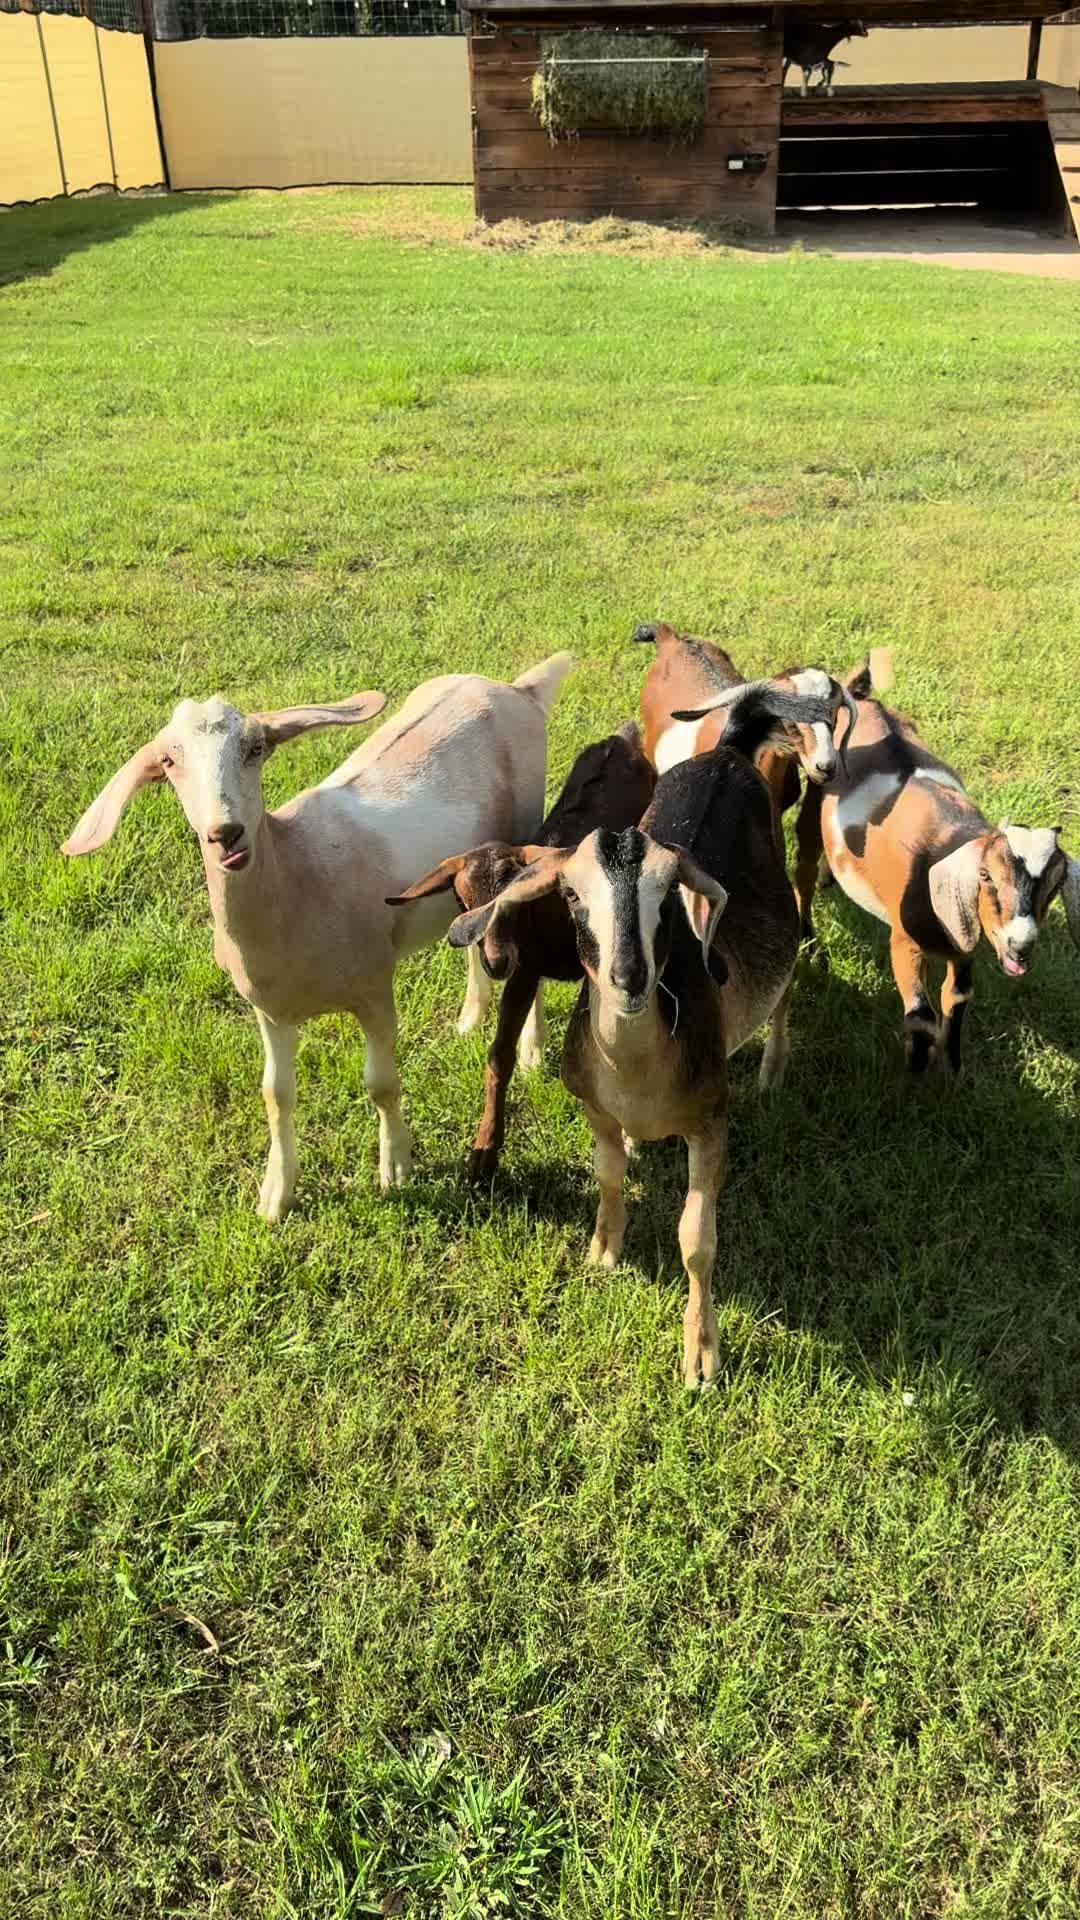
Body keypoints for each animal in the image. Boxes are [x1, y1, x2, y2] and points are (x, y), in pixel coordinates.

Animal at [62, 656, 572, 1217]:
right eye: (169, 761)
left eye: (255, 748)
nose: (226, 834)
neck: (298, 873)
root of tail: (517, 688)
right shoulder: (269, 1009)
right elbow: (275, 1095)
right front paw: (276, 1195)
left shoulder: (374, 987)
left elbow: (381, 1084)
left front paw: (396, 1169)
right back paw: (469, 1018)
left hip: (527, 824)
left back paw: (531, 1051)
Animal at [389, 723, 656, 1183]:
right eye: (462, 903)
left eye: (515, 900)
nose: (495, 962)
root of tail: (623, 738)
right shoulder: (525, 970)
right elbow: (499, 1054)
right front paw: (484, 1152)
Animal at [447, 744, 799, 1387]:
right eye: (571, 896)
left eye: (667, 895)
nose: (628, 978)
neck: (639, 1073)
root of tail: (728, 749)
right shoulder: (593, 1103)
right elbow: (608, 1173)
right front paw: (604, 1250)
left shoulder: (711, 1118)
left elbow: (696, 1239)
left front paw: (701, 1356)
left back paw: (774, 1067)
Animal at [795, 658, 1080, 1072]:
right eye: (985, 876)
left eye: (1057, 886)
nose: (1021, 945)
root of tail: (863, 699)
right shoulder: (904, 939)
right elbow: (920, 1015)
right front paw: (916, 1067)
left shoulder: (963, 944)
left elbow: (957, 998)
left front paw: (953, 1068)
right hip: (814, 796)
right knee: (801, 870)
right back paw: (809, 941)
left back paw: (828, 878)